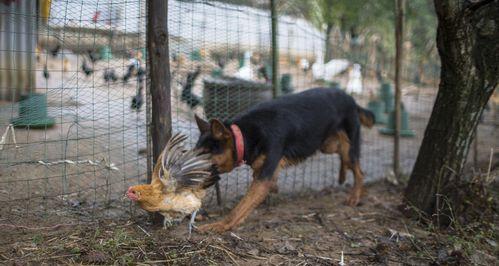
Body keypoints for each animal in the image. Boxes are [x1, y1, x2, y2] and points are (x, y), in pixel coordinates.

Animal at [195, 88, 376, 233]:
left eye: (203, 156)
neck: (244, 135)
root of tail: (351, 99)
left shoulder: (263, 179)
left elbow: (240, 207)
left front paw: (220, 225)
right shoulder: (262, 173)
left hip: (347, 148)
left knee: (359, 171)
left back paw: (355, 196)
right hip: (326, 145)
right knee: (346, 159)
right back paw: (344, 176)